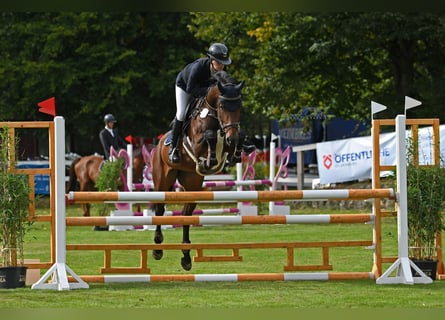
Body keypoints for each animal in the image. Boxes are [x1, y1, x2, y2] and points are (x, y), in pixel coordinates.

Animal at [151, 70, 245, 270]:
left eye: (239, 106)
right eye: (222, 106)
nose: (231, 137)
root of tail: (160, 142)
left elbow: (239, 136)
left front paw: (235, 153)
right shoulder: (196, 144)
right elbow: (209, 136)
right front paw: (211, 159)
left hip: (192, 182)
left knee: (187, 214)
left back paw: (186, 256)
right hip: (162, 180)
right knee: (160, 209)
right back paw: (157, 248)